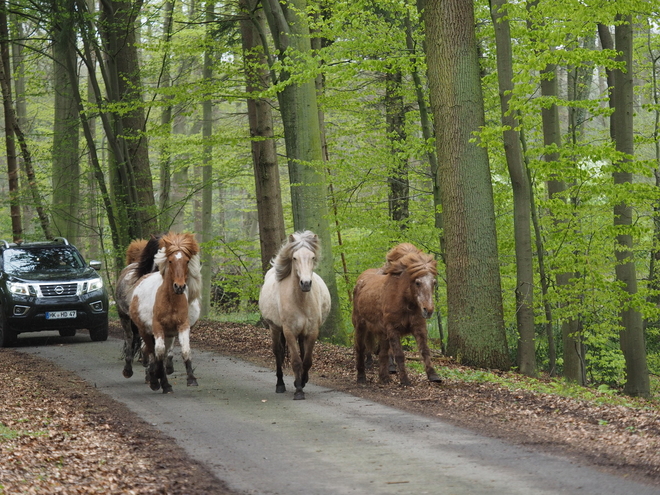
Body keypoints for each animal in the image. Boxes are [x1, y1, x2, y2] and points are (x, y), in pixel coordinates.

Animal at [128, 232, 201, 396]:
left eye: (187, 261)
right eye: (171, 260)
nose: (179, 287)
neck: (170, 301)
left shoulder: (183, 325)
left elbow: (185, 350)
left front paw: (191, 379)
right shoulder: (157, 327)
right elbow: (159, 353)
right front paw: (164, 385)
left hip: (168, 335)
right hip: (145, 331)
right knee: (151, 352)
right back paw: (155, 380)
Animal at [256, 231, 330, 402]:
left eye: (312, 257)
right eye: (295, 258)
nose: (306, 283)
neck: (300, 301)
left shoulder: (312, 331)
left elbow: (307, 361)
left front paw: (302, 381)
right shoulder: (289, 331)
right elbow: (296, 361)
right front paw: (298, 391)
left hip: (302, 333)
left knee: (302, 352)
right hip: (275, 328)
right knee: (278, 352)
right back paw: (280, 385)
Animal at [354, 244, 440, 388]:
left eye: (433, 282)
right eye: (417, 282)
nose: (428, 310)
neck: (404, 300)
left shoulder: (419, 327)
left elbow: (425, 350)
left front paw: (433, 375)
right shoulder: (393, 329)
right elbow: (399, 354)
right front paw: (405, 379)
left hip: (382, 332)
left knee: (383, 353)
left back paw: (384, 378)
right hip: (360, 326)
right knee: (360, 348)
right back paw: (361, 377)